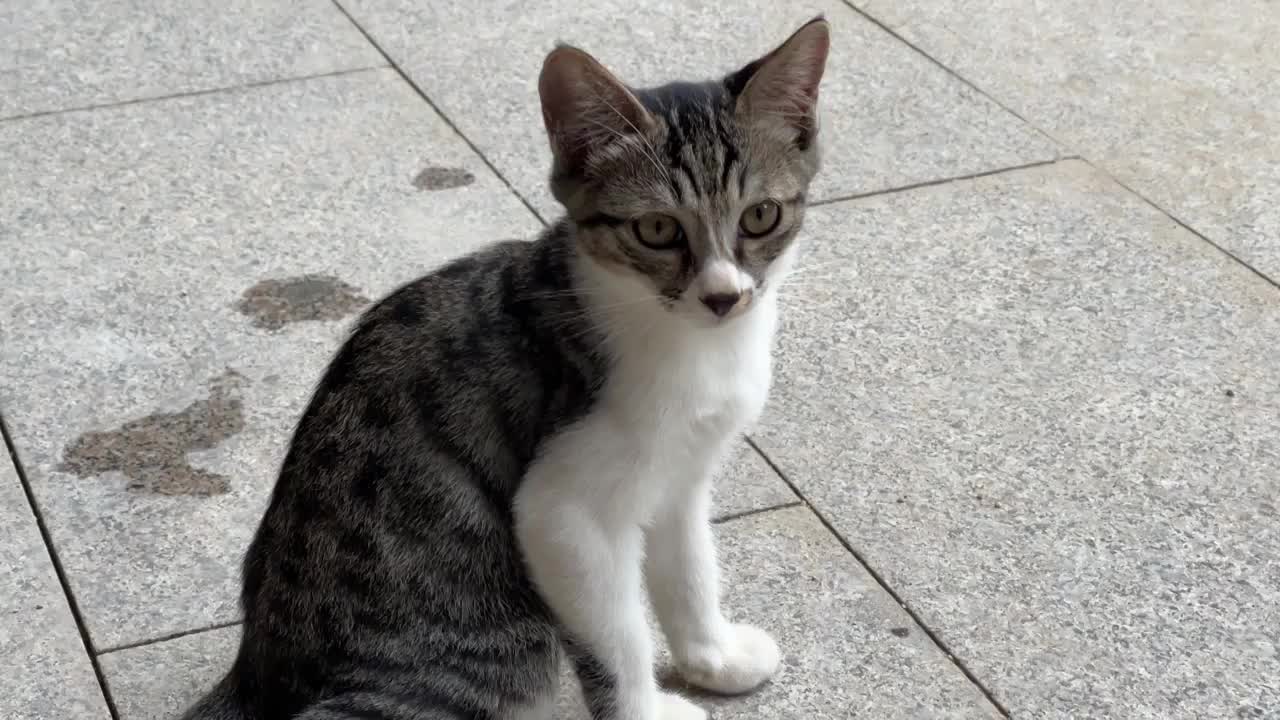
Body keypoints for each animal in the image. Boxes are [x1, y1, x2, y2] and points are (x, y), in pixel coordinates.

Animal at [185, 15, 834, 717]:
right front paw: (644, 708)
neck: (693, 347)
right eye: (658, 230)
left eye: (761, 215)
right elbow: (616, 634)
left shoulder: (683, 473)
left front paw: (713, 658)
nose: (723, 297)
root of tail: (259, 667)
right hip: (498, 639)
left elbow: (688, 568)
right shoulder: (562, 513)